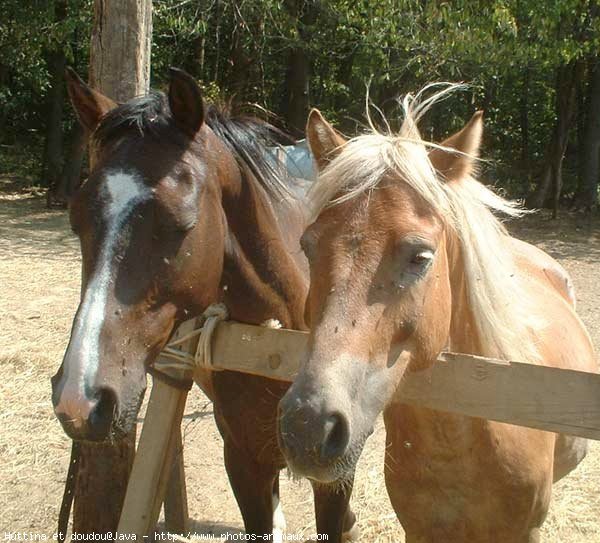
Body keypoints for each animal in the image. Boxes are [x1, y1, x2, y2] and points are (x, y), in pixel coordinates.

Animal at [50, 70, 356, 540]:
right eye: (76, 219)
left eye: (179, 223)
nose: (78, 399)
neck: (280, 344)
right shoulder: (243, 461)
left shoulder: (337, 473)